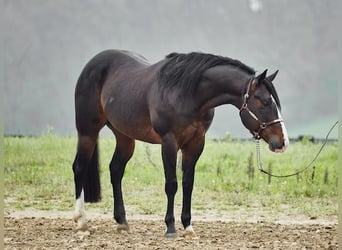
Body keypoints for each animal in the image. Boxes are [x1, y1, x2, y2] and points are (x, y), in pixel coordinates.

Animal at [73, 49, 288, 238]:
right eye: (265, 102)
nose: (282, 143)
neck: (187, 94)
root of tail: (92, 64)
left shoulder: (195, 144)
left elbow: (188, 183)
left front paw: (188, 226)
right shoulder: (169, 142)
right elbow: (172, 184)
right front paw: (170, 227)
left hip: (125, 137)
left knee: (116, 170)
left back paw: (122, 222)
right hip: (87, 133)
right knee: (79, 168)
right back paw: (81, 222)